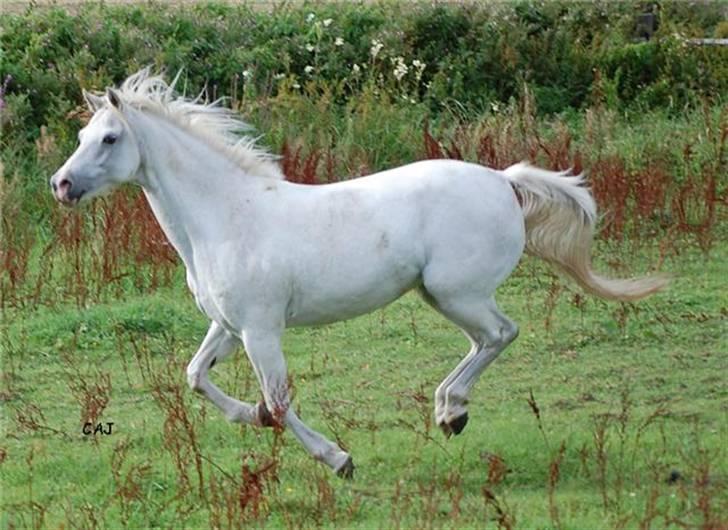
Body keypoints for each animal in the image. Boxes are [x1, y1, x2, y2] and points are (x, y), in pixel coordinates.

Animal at [50, 69, 667, 477]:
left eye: (110, 138)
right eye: (81, 137)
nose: (61, 185)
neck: (226, 218)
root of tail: (502, 180)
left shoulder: (260, 330)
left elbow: (280, 400)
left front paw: (338, 458)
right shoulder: (228, 327)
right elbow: (196, 376)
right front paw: (252, 416)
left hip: (457, 293)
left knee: (500, 334)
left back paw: (450, 411)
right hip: (443, 295)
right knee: (486, 340)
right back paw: (450, 411)